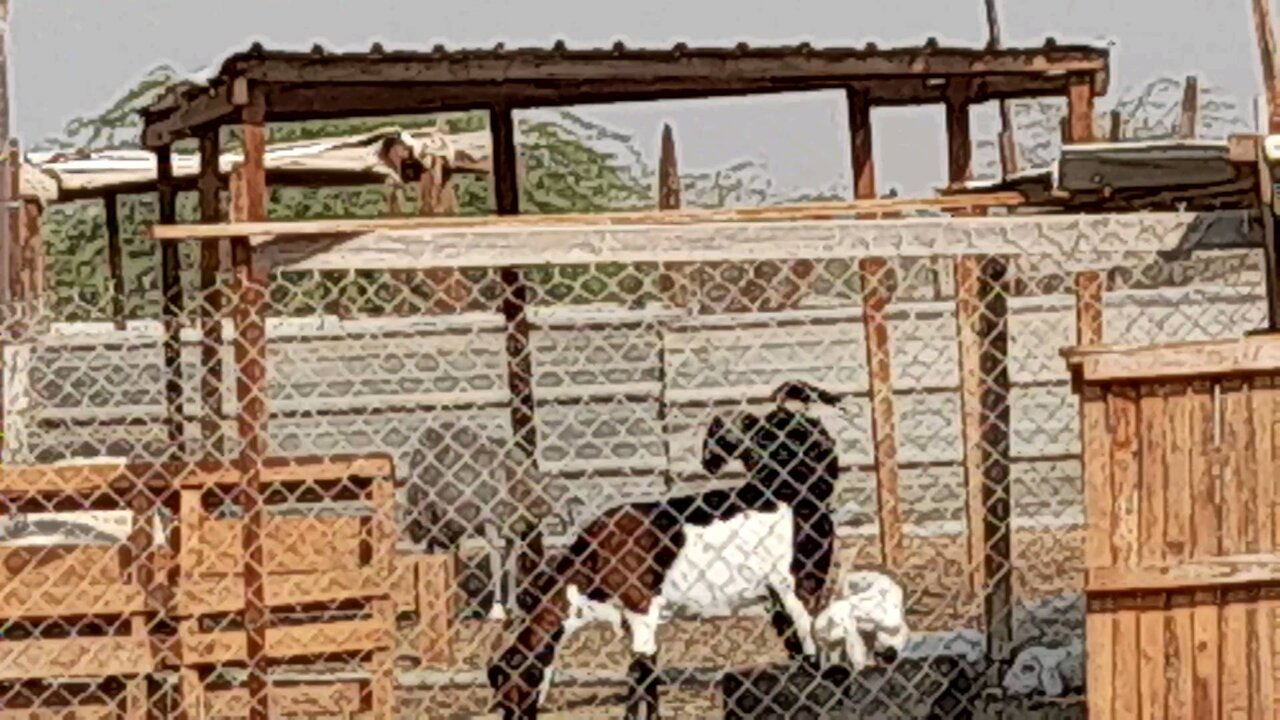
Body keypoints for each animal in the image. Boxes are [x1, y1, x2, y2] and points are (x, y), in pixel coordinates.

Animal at [488, 379, 849, 712]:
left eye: (510, 691)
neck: (593, 559)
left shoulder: (642, 610)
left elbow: (640, 681)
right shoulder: (633, 622)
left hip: (798, 586)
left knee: (813, 650)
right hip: (775, 596)